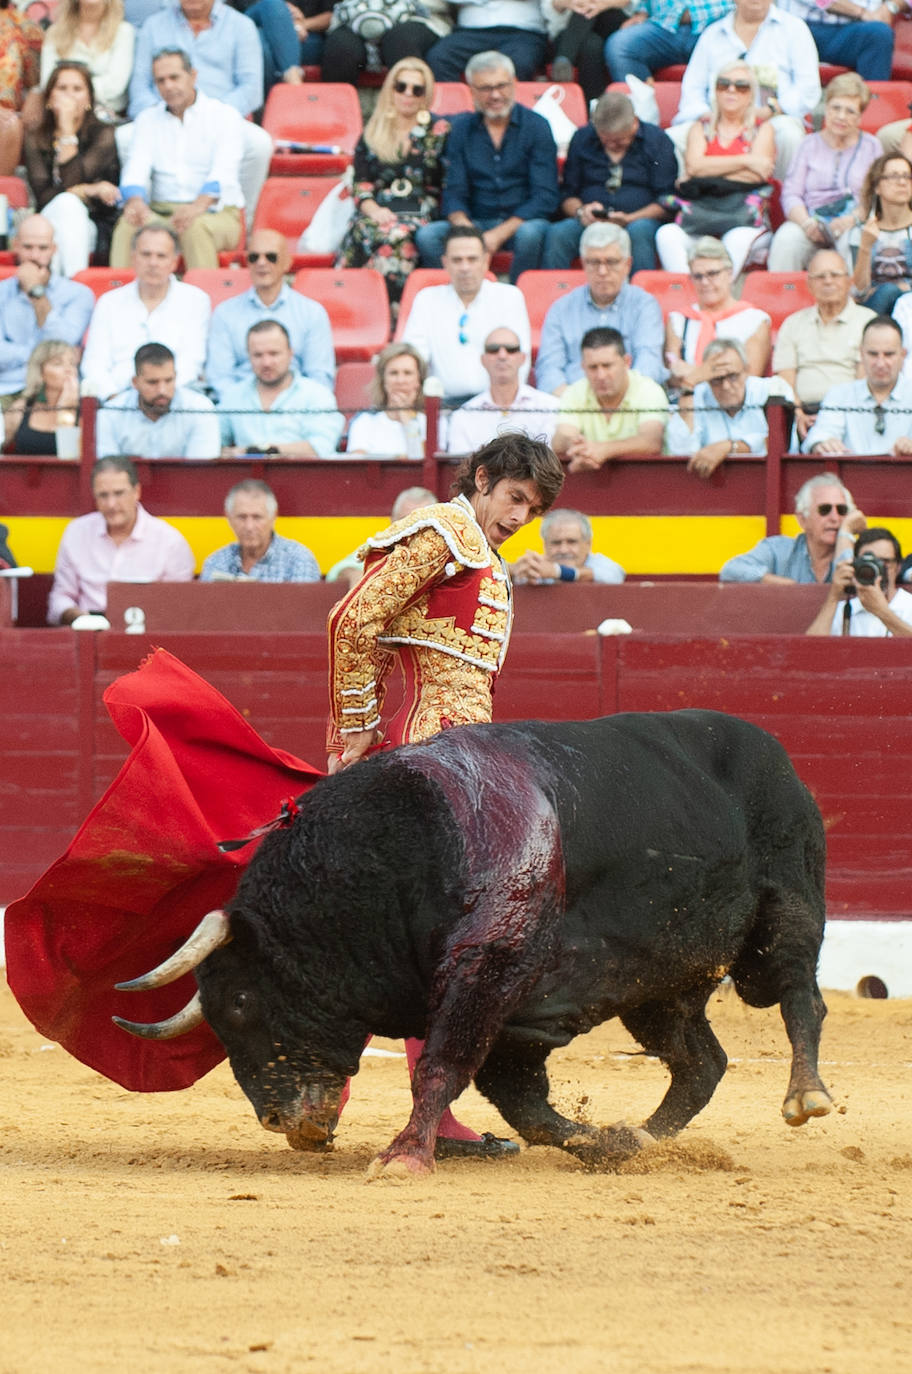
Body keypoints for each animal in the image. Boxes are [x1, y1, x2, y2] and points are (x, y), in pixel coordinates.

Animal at [114, 714, 835, 1176]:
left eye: (241, 1004)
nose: (274, 1117)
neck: (399, 853)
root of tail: (775, 751)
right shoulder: (515, 1017)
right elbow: (524, 1105)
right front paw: (606, 1144)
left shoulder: (485, 974)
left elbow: (441, 1067)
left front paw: (404, 1157)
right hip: (660, 985)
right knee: (701, 1062)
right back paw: (646, 1138)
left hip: (785, 909)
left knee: (800, 994)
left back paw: (807, 1096)